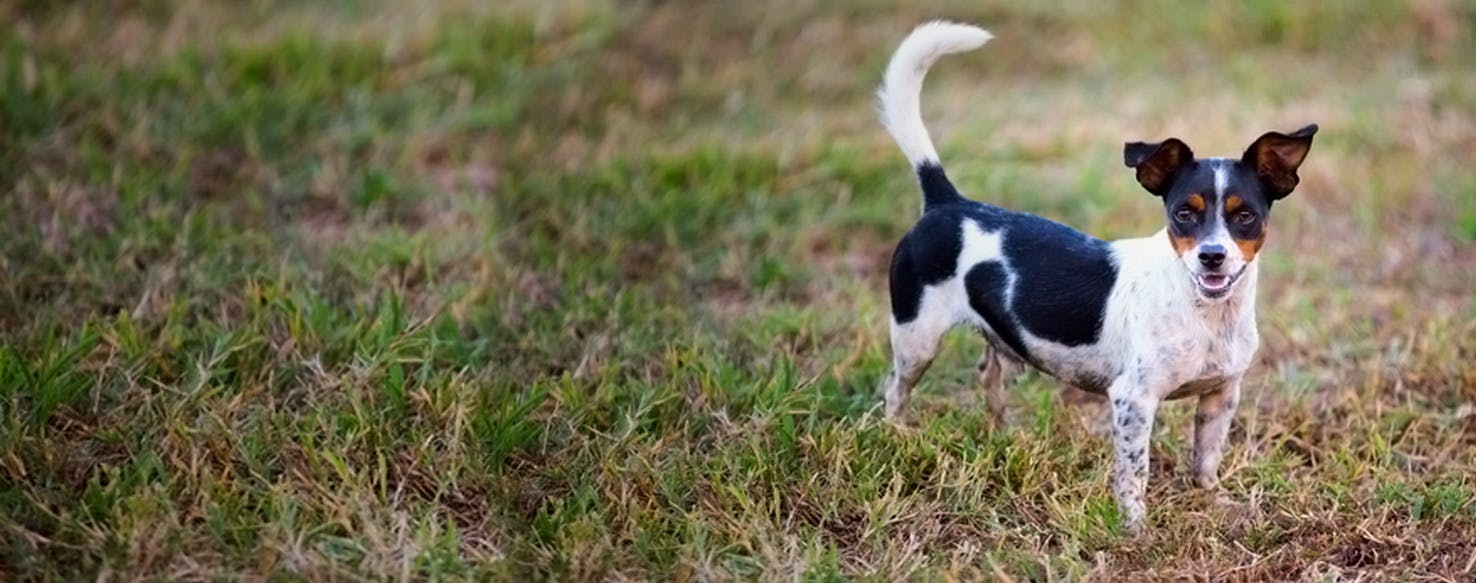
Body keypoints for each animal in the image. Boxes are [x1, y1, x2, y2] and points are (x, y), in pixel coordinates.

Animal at [873, 21, 1316, 534]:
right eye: (1183, 214)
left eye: (1245, 217)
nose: (1212, 256)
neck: (1205, 313)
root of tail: (948, 202)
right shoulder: (1133, 400)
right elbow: (1134, 472)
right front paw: (1136, 530)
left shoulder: (1221, 394)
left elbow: (1206, 459)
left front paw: (1214, 502)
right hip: (917, 339)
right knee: (896, 389)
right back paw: (897, 436)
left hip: (995, 340)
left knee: (988, 374)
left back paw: (1003, 435)